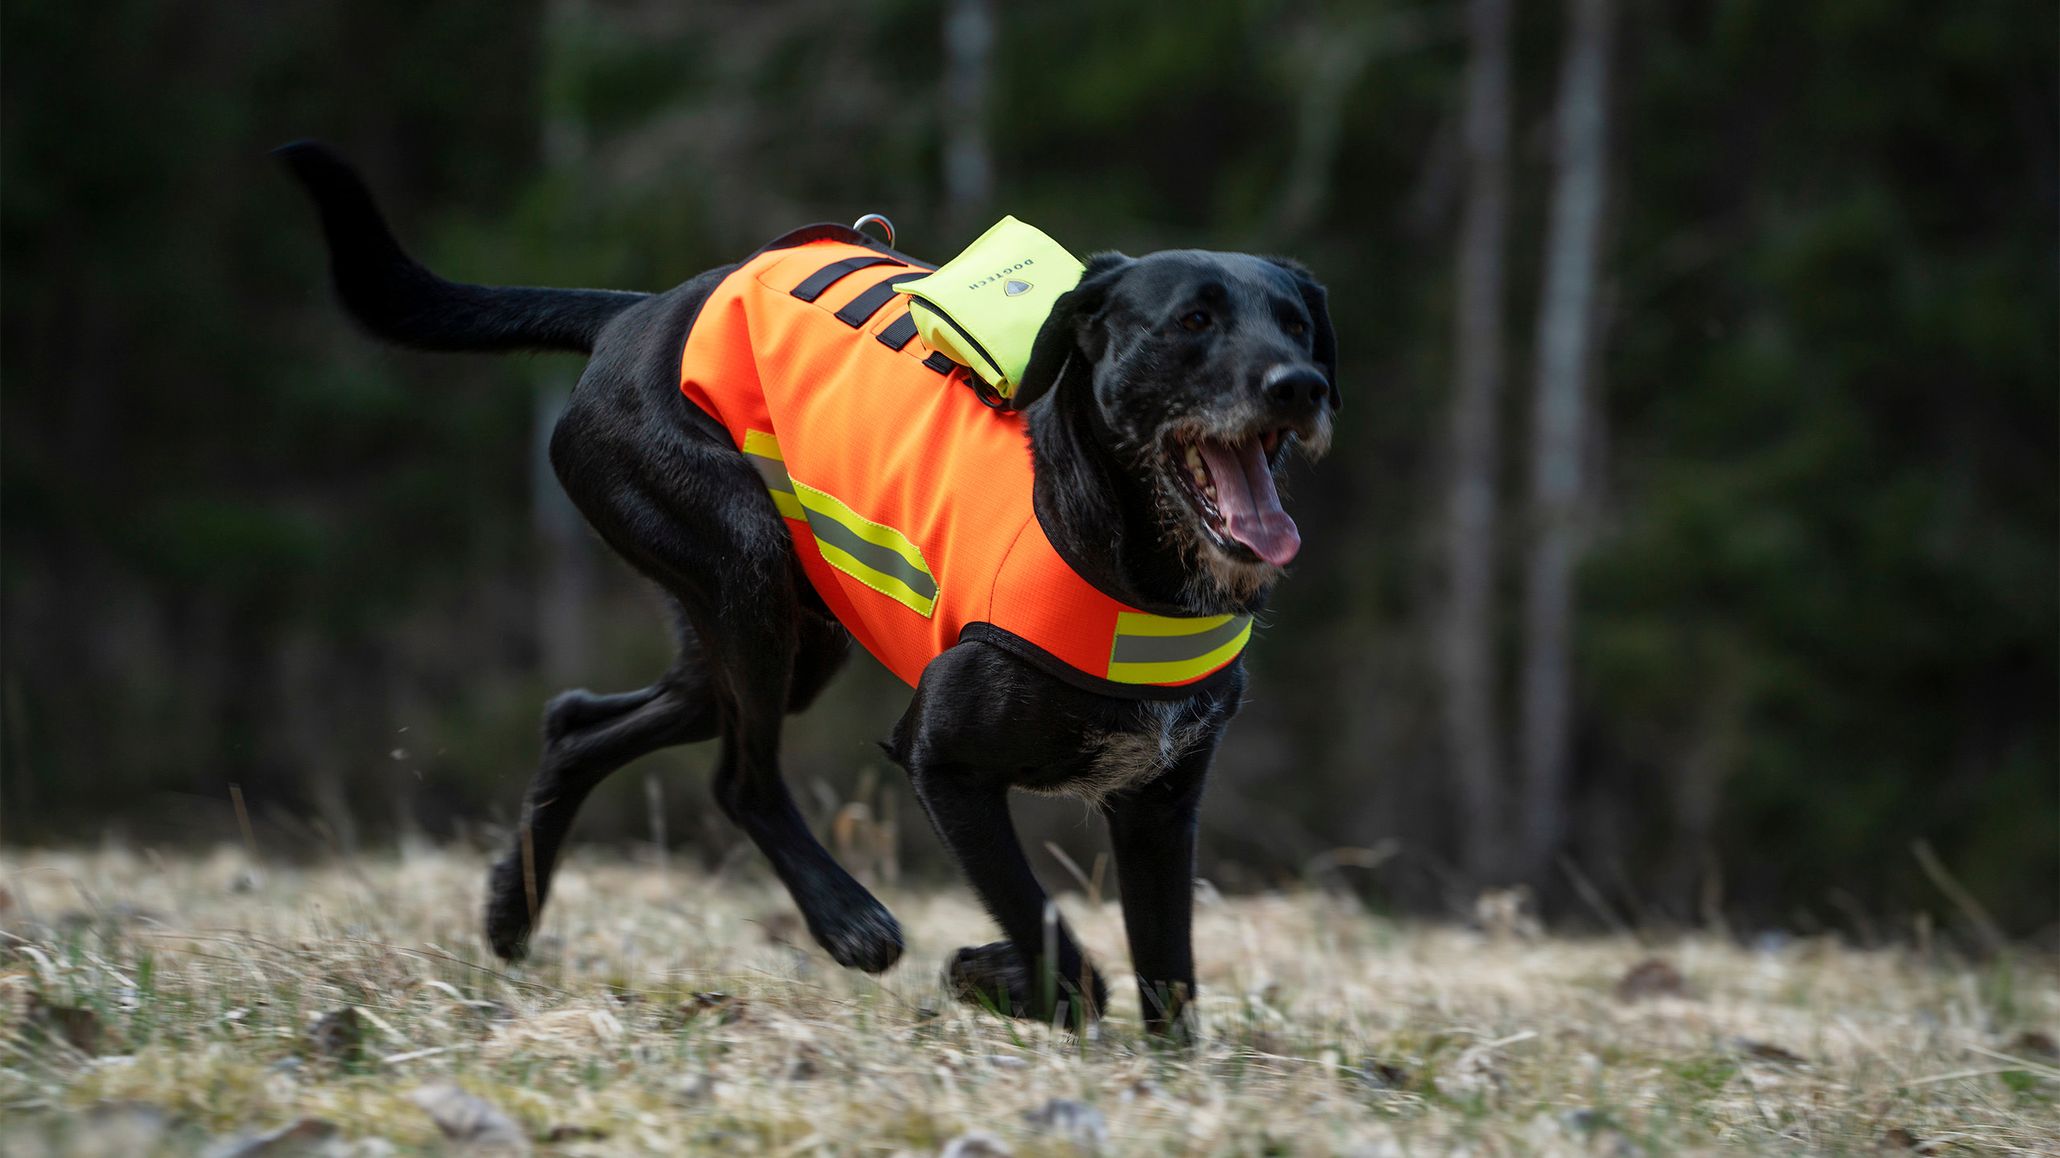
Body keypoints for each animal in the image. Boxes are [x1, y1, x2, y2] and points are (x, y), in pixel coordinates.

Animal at [278, 140, 1334, 1030]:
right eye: (1193, 321)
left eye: (1296, 323)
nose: (1302, 386)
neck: (1131, 562)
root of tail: (632, 315)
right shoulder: (943, 761)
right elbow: (1055, 946)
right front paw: (991, 976)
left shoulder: (1160, 807)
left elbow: (1169, 981)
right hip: (738, 565)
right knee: (738, 777)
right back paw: (845, 920)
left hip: (780, 632)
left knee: (580, 723)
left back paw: (510, 912)